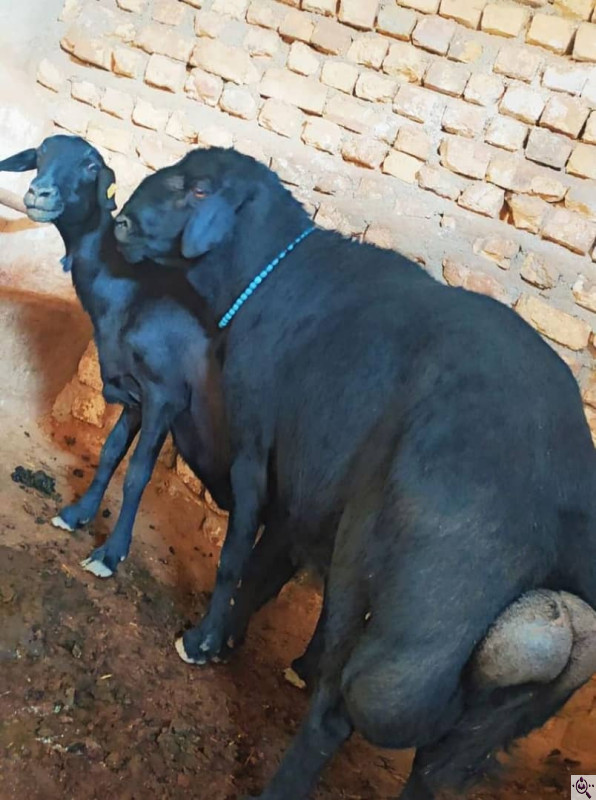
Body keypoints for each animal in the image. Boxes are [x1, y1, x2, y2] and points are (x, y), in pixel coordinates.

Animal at [116, 146, 596, 799]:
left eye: (198, 189)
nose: (120, 222)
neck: (269, 273)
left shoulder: (257, 446)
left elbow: (238, 556)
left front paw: (205, 642)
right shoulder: (307, 475)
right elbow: (271, 565)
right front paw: (240, 639)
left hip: (402, 590)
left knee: (339, 708)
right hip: (496, 690)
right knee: (438, 763)